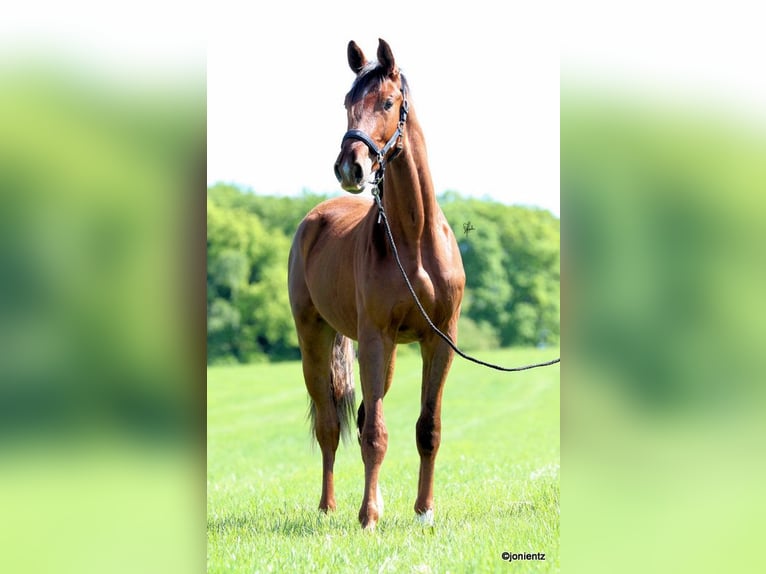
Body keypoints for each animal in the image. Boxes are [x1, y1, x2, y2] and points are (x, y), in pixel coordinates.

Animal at [288, 38, 465, 530]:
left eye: (387, 102)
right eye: (347, 103)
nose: (350, 167)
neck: (414, 238)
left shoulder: (438, 340)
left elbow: (428, 427)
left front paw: (424, 510)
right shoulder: (373, 338)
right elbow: (373, 435)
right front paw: (367, 516)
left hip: (384, 356)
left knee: (368, 408)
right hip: (316, 341)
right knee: (331, 426)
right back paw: (329, 507)